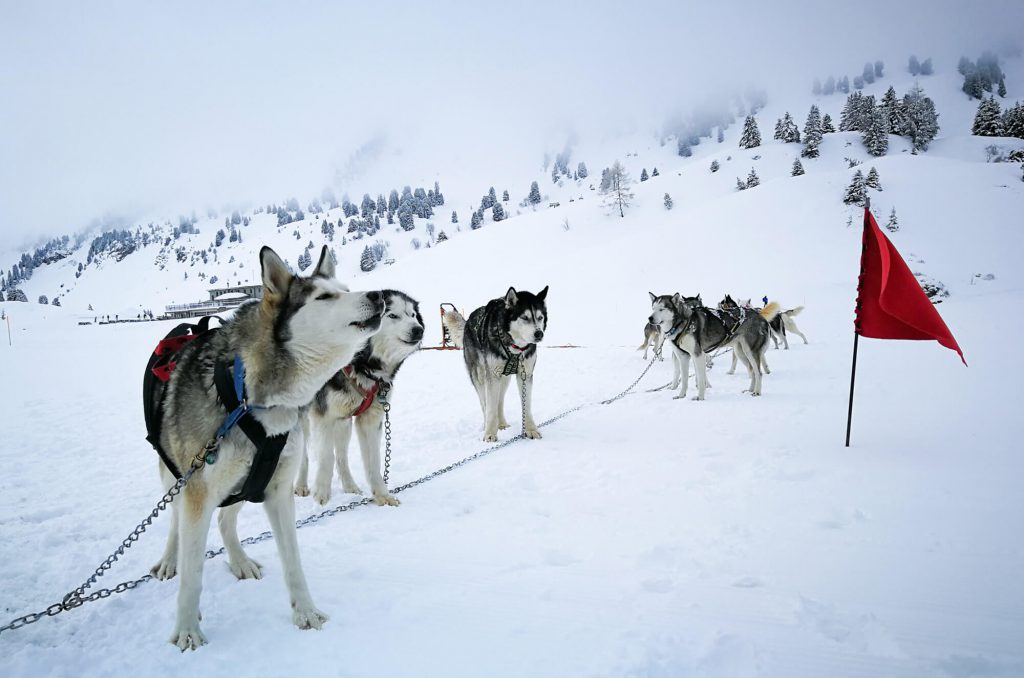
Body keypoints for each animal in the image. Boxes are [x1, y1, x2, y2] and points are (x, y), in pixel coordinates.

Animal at [152, 246, 387, 651]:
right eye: (323, 297)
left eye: (345, 288)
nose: (377, 295)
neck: (249, 398)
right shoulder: (198, 492)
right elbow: (192, 575)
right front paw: (187, 631)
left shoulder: (276, 489)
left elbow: (293, 562)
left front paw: (306, 613)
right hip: (178, 479)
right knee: (175, 523)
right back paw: (170, 560)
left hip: (245, 482)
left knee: (225, 519)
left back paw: (239, 561)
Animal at [296, 292, 423, 510]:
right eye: (392, 315)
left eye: (412, 315)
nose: (418, 329)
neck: (362, 366)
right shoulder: (323, 417)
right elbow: (326, 456)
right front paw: (321, 495)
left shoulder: (370, 421)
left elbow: (373, 462)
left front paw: (382, 495)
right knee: (304, 455)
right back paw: (301, 486)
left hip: (344, 423)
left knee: (342, 456)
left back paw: (350, 486)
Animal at [462, 284, 548, 440]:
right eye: (525, 317)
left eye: (540, 317)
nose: (539, 334)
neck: (515, 348)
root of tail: (469, 319)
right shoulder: (491, 376)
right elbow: (490, 408)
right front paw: (490, 434)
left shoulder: (525, 374)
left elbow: (527, 405)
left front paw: (531, 429)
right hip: (480, 376)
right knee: (485, 403)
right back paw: (488, 425)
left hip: (505, 378)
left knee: (499, 402)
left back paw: (501, 424)